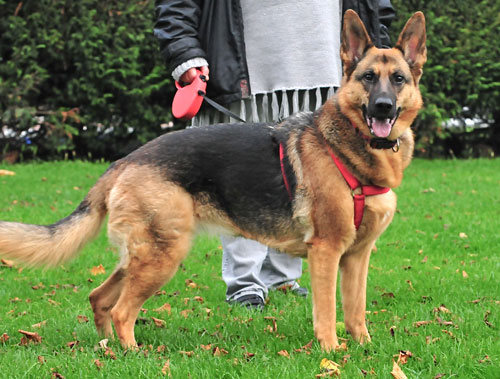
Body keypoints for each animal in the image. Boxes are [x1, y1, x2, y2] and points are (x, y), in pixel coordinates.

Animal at [0, 10, 426, 352]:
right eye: (368, 78)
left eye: (398, 79)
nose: (383, 108)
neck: (351, 150)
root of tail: (125, 161)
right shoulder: (327, 253)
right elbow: (327, 311)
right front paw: (332, 352)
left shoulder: (357, 257)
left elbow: (356, 310)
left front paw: (364, 348)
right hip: (163, 257)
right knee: (122, 310)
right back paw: (134, 353)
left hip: (142, 256)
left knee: (98, 298)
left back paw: (108, 348)